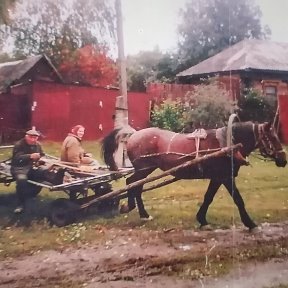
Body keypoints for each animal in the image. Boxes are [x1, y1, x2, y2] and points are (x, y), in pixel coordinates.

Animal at [102, 121, 286, 230]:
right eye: (271, 137)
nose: (283, 160)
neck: (227, 144)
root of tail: (134, 134)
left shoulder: (218, 178)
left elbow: (208, 197)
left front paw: (202, 219)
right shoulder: (225, 177)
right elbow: (238, 200)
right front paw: (250, 223)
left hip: (145, 169)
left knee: (136, 186)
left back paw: (141, 213)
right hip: (143, 168)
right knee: (132, 183)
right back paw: (134, 209)